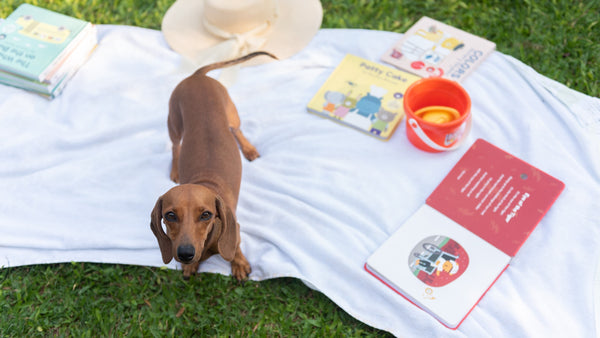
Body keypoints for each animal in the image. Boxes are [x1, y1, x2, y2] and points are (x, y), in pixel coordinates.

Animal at [150, 52, 276, 280]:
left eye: (206, 215)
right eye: (170, 215)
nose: (186, 254)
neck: (205, 183)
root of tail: (197, 76)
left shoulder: (234, 227)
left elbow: (235, 246)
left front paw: (239, 263)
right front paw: (191, 266)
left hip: (232, 114)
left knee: (237, 130)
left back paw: (249, 149)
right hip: (174, 124)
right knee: (175, 146)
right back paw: (175, 169)